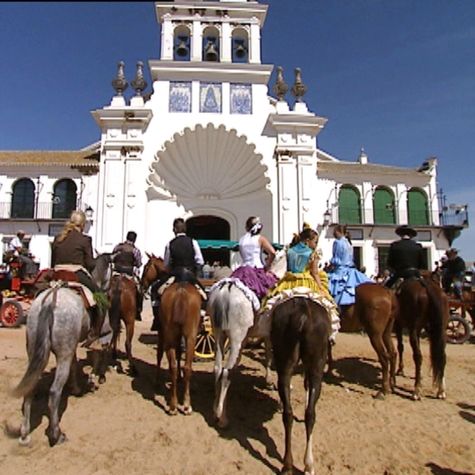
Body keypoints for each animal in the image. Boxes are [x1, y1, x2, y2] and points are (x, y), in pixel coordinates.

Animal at [207, 249, 286, 428]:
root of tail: (226, 290)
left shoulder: (262, 336)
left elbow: (267, 355)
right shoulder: (270, 336)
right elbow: (271, 356)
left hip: (219, 335)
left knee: (218, 368)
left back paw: (215, 407)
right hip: (235, 338)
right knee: (226, 372)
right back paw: (222, 417)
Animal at [270, 298, 330, 475]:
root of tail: (302, 313)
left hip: (288, 362)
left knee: (294, 413)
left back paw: (291, 465)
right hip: (315, 363)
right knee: (307, 413)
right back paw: (305, 465)